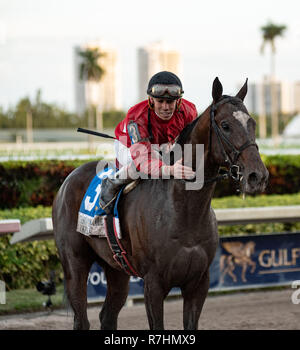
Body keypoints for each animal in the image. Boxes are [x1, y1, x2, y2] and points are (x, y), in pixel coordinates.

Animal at [52, 77, 270, 330]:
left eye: (252, 123)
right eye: (225, 125)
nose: (257, 176)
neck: (184, 211)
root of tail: (68, 179)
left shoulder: (199, 283)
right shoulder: (153, 284)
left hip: (116, 269)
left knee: (107, 315)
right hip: (75, 264)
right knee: (81, 319)